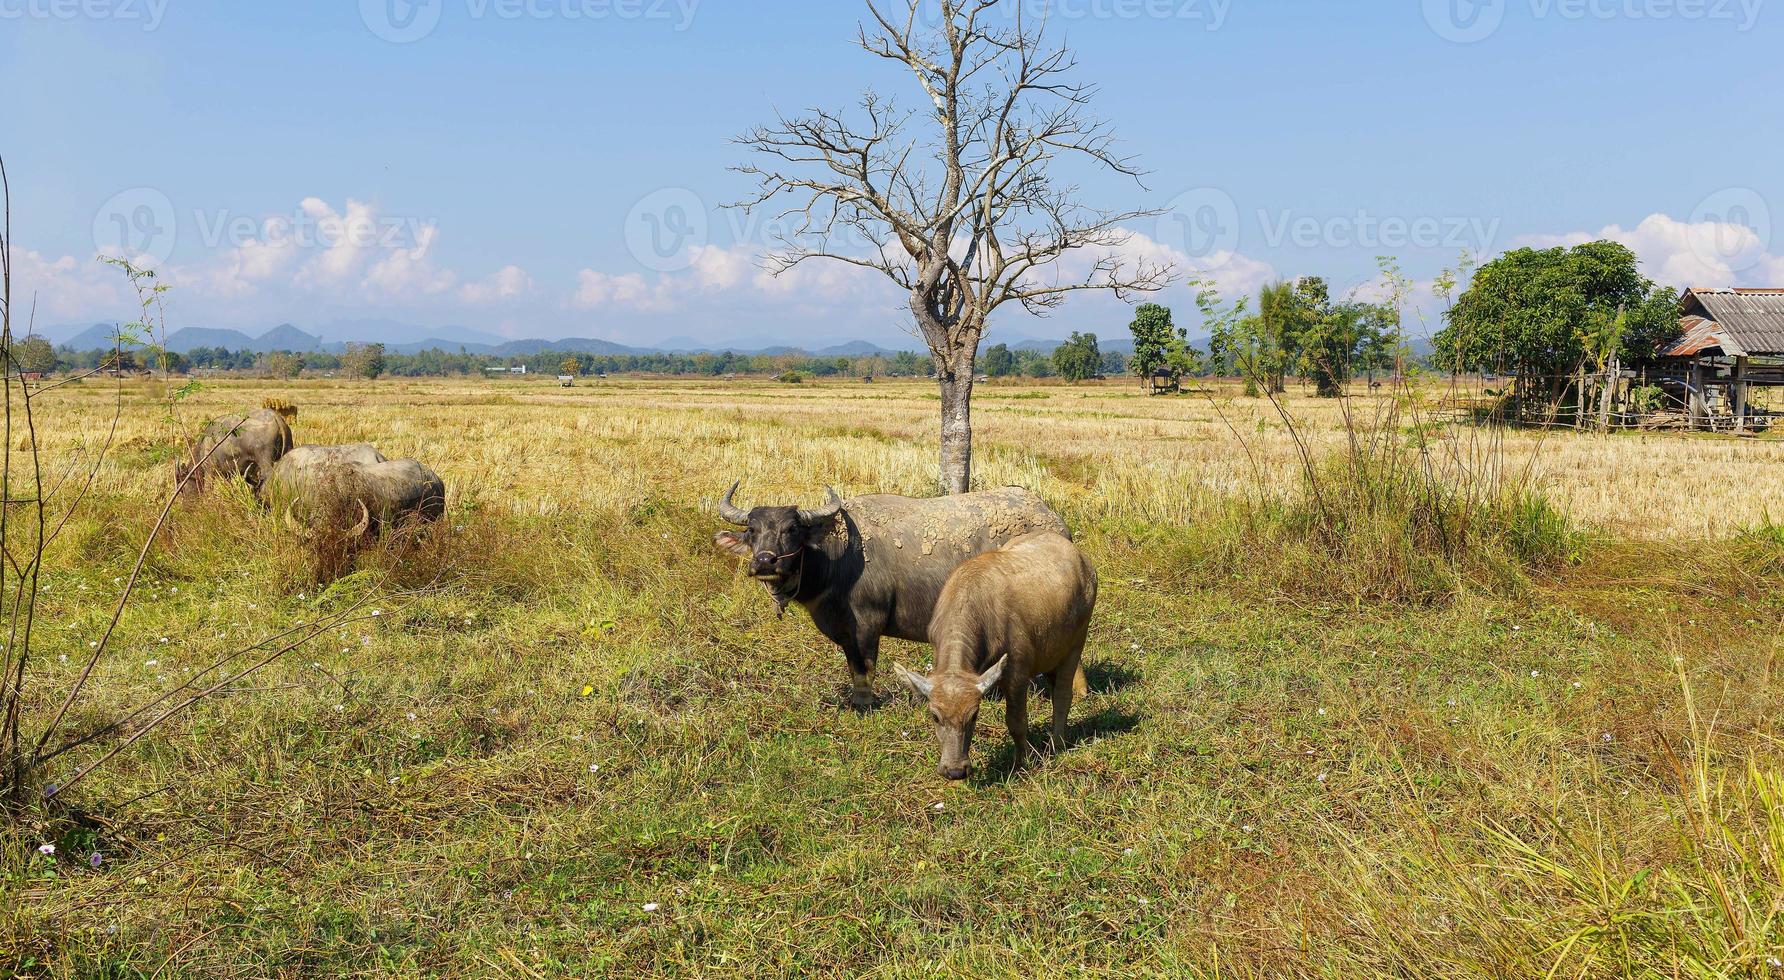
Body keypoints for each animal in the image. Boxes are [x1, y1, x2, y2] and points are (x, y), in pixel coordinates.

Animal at [713, 478, 1084, 703]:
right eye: (752, 529)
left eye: (791, 529)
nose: (765, 561)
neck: (838, 557)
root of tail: (1055, 521)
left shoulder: (867, 624)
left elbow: (865, 669)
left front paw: (864, 705)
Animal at [899, 531, 1091, 774]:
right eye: (935, 716)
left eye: (974, 715)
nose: (955, 771)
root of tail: (1082, 560)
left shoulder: (1017, 676)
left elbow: (1016, 722)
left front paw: (1022, 762)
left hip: (1075, 645)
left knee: (1063, 695)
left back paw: (1057, 743)